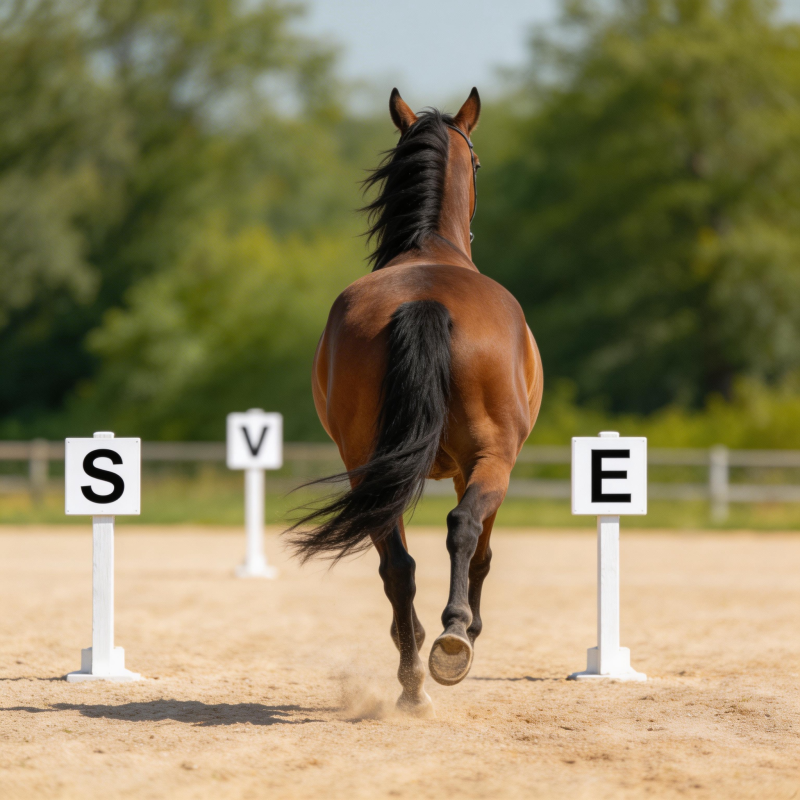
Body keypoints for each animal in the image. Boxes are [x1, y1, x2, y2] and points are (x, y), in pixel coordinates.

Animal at [289, 88, 543, 717]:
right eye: (478, 162)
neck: (431, 251)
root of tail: (426, 299)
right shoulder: (484, 465)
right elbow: (480, 550)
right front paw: (467, 627)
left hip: (368, 468)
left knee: (397, 565)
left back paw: (411, 677)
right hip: (488, 459)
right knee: (463, 530)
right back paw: (451, 642)